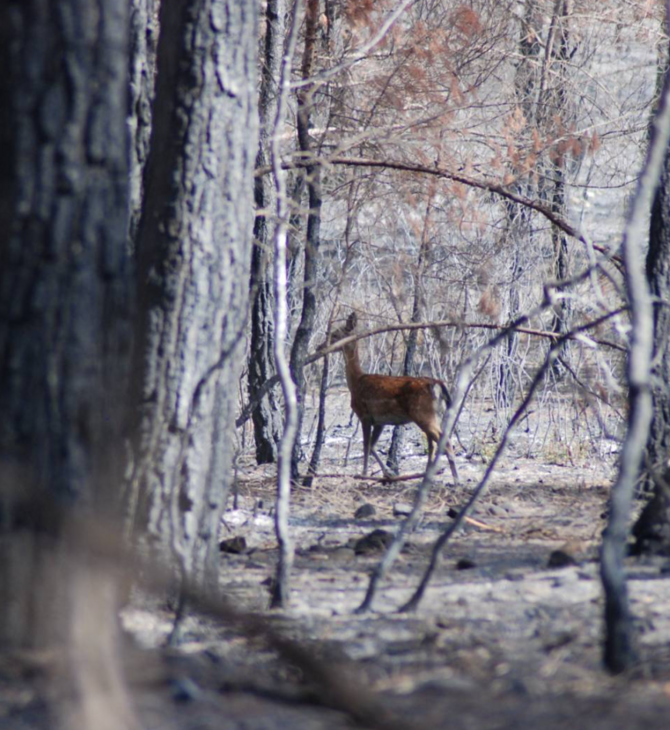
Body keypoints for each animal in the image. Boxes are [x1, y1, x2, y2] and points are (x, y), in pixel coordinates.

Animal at [326, 310, 462, 480]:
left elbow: (366, 446)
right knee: (433, 444)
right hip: (433, 414)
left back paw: (456, 480)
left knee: (445, 442)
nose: (320, 346)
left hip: (423, 413)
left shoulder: (364, 414)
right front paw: (387, 473)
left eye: (335, 334)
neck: (356, 382)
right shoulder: (380, 421)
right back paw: (427, 475)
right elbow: (372, 446)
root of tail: (437, 384)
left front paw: (364, 474)